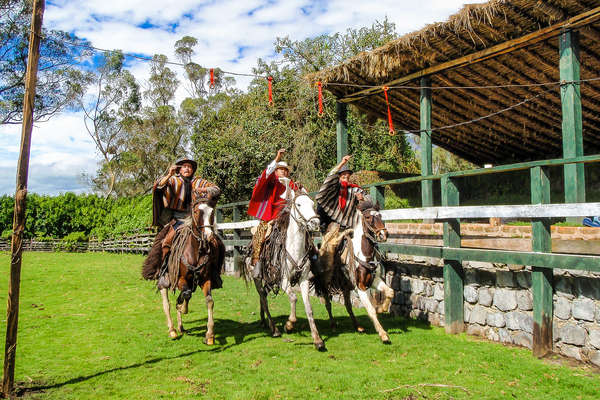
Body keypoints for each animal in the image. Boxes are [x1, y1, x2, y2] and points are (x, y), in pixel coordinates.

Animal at [248, 188, 326, 350]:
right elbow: (293, 297)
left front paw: (317, 339)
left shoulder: (304, 280)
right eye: (299, 204)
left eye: (312, 204)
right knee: (263, 297)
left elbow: (308, 307)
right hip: (258, 278)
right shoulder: (282, 279)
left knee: (264, 296)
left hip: (269, 281)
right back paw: (274, 329)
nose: (315, 223)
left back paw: (264, 321)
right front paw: (289, 324)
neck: (294, 249)